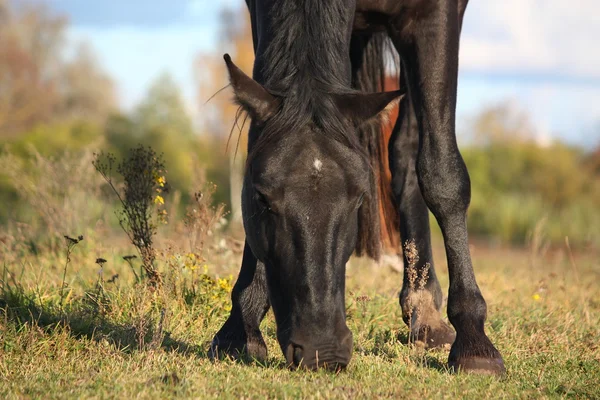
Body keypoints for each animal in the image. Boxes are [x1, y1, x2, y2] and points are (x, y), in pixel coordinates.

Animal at [209, 0, 504, 376]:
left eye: (358, 199)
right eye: (261, 197)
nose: (322, 350)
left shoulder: (436, 13)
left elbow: (443, 173)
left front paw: (474, 343)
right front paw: (240, 326)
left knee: (408, 147)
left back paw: (425, 311)